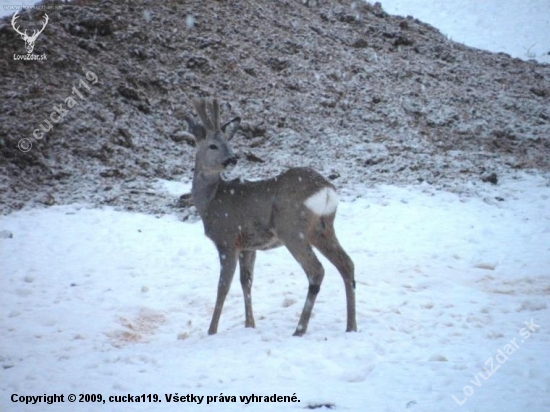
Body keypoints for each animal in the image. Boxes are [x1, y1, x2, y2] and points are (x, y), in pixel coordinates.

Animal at [185, 98, 358, 336]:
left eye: (226, 142)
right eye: (213, 145)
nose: (232, 159)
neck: (211, 201)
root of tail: (327, 190)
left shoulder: (226, 239)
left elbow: (223, 286)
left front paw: (211, 331)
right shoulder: (248, 245)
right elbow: (246, 281)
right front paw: (250, 325)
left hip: (292, 229)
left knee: (316, 270)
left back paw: (299, 330)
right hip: (323, 228)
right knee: (347, 264)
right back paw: (351, 326)